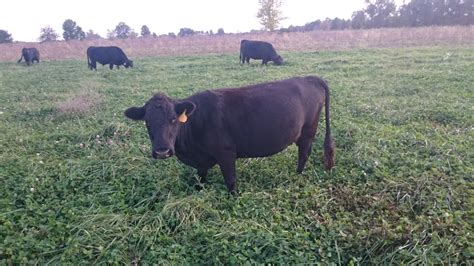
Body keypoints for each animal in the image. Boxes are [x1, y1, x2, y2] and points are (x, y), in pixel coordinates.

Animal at [124, 75, 336, 193]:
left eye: (173, 120)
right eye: (147, 122)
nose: (162, 151)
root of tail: (309, 78)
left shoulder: (226, 153)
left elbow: (231, 180)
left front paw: (233, 197)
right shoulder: (202, 160)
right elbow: (200, 177)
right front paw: (199, 191)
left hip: (308, 131)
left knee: (304, 153)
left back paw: (297, 175)